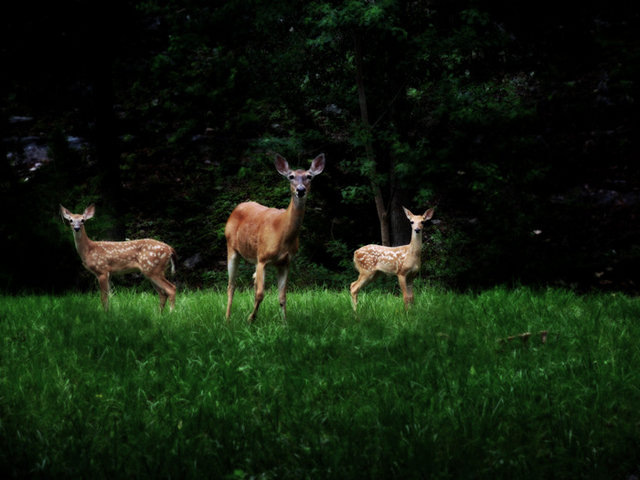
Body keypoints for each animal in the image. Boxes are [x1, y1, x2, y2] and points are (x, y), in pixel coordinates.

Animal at [224, 153, 325, 323]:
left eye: (309, 176)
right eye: (291, 176)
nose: (300, 190)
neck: (282, 234)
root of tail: (237, 207)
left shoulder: (285, 262)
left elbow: (282, 296)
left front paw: (285, 322)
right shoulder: (263, 258)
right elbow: (260, 294)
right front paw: (250, 319)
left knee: (252, 281)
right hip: (231, 248)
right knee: (231, 285)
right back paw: (227, 318)